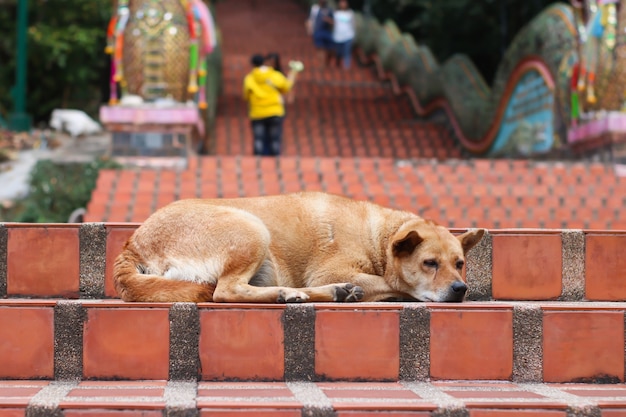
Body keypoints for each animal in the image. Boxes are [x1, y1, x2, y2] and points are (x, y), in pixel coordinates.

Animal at [113, 192, 482, 302]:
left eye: (459, 263)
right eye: (429, 263)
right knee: (225, 292)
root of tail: (133, 242)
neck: (375, 232)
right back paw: (290, 293)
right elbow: (395, 284)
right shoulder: (330, 270)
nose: (460, 289)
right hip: (252, 229)